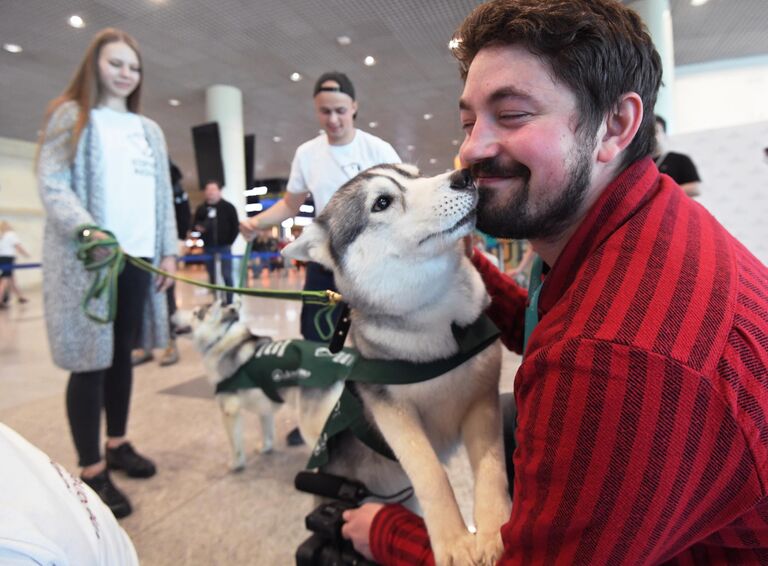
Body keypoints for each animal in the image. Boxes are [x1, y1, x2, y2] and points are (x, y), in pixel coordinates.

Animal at [282, 163, 510, 564]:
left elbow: (491, 465)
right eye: (382, 202)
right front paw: (454, 541)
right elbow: (430, 472)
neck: (438, 318)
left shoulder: (482, 399)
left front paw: (492, 529)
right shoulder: (391, 409)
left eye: (416, 174)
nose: (465, 175)